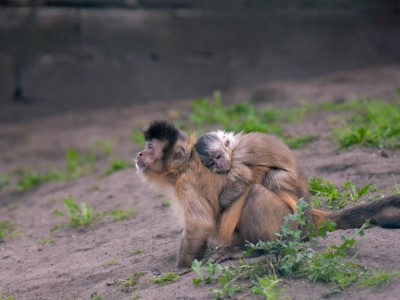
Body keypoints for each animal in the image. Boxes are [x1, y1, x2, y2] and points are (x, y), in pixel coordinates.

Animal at [137, 120, 400, 268]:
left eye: (149, 148)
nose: (139, 154)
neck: (184, 166)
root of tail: (308, 217)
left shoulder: (186, 184)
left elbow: (200, 225)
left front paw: (180, 267)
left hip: (290, 222)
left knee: (255, 192)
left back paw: (256, 250)